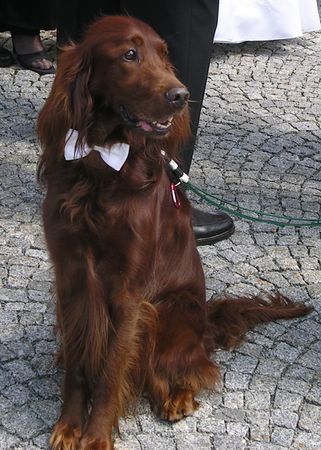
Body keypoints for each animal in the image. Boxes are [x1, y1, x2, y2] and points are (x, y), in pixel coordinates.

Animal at [37, 15, 310, 448]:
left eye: (165, 55)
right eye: (130, 54)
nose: (181, 95)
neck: (102, 166)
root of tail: (204, 322)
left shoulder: (129, 293)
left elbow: (112, 370)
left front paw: (95, 437)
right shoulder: (71, 276)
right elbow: (81, 362)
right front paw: (68, 426)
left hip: (170, 312)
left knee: (193, 367)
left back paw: (179, 396)